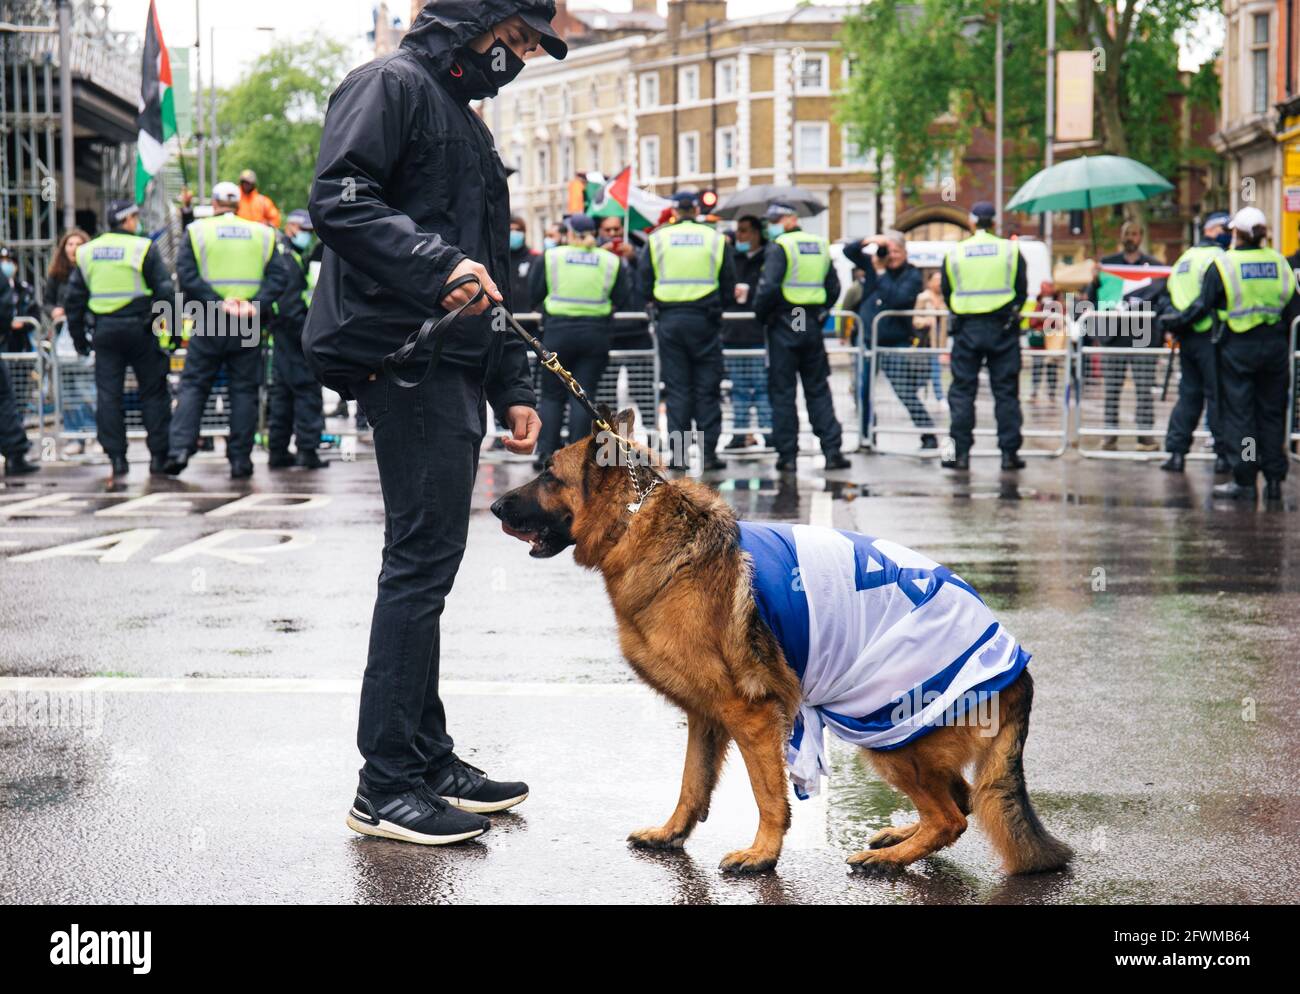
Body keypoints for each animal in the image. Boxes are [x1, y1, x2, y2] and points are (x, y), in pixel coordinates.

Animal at [488, 410, 1066, 878]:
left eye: (549, 473)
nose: (492, 506)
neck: (639, 522)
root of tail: (1019, 667)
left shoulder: (750, 714)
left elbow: (768, 795)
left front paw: (762, 855)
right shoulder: (706, 715)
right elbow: (691, 783)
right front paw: (672, 833)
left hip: (891, 734)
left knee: (950, 816)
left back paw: (890, 858)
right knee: (961, 801)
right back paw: (901, 838)